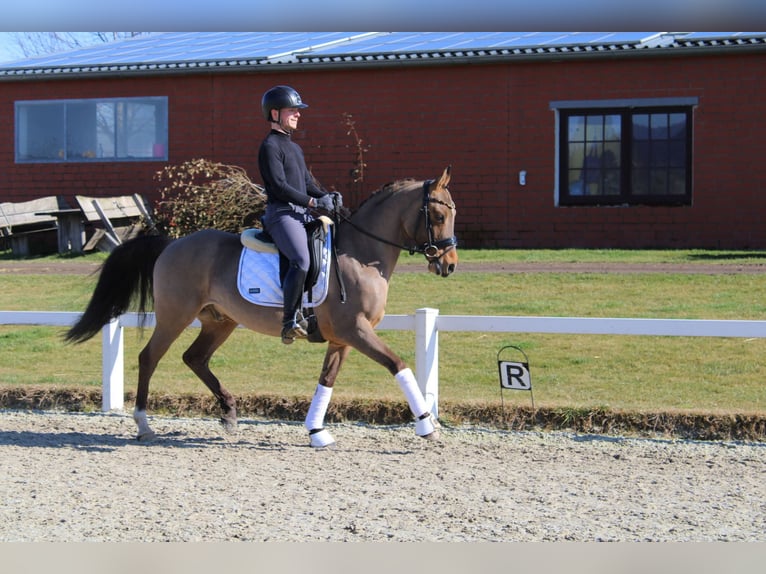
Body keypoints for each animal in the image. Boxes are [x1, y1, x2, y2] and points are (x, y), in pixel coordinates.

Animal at [66, 166, 460, 450]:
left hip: (220, 321)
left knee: (195, 358)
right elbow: (398, 364)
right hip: (175, 316)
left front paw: (316, 431)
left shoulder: (342, 338)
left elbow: (327, 380)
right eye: (439, 217)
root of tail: (171, 244)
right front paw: (426, 425)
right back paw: (144, 423)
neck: (361, 254)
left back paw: (228, 413)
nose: (450, 265)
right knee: (150, 358)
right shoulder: (356, 330)